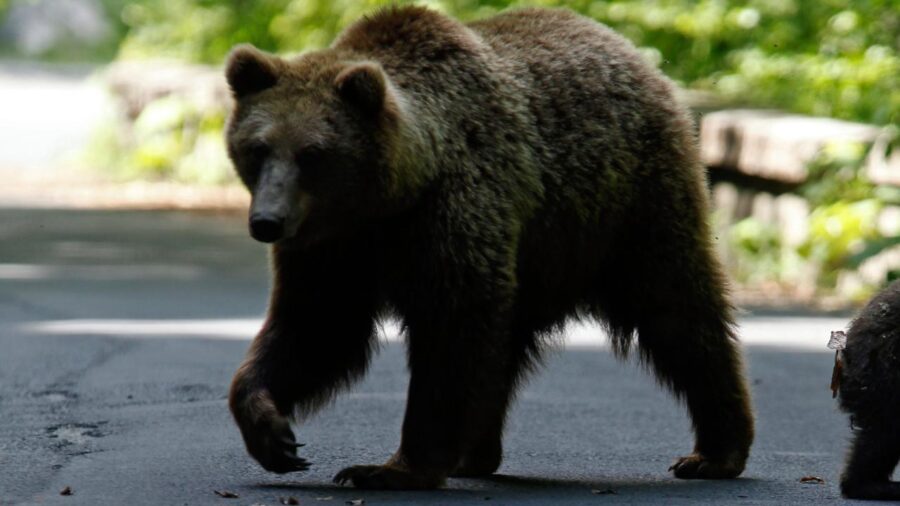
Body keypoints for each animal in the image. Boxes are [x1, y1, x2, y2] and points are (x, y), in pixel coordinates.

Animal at [224, 5, 755, 490]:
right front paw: (273, 433)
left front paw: (391, 468)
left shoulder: (453, 211)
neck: (393, 198)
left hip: (628, 208)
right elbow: (318, 326)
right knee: (506, 348)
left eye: (312, 153)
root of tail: (631, 53)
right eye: (257, 147)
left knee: (677, 312)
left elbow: (451, 331)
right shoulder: (332, 246)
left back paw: (715, 451)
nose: (267, 221)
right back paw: (475, 453)